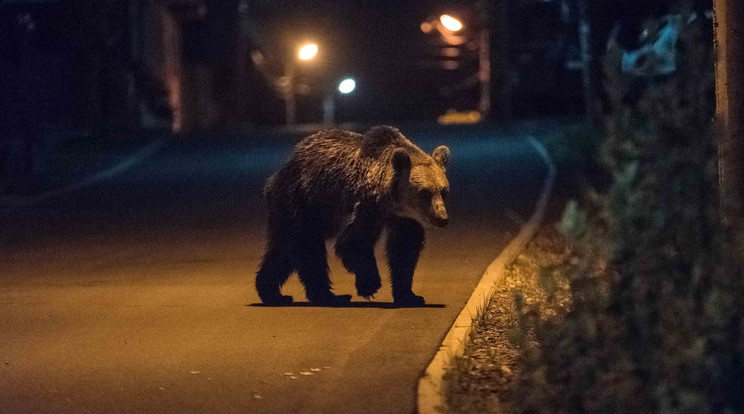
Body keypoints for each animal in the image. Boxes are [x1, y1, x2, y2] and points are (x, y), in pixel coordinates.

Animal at [258, 126, 448, 308]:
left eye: (444, 191)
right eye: (425, 192)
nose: (442, 218)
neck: (390, 201)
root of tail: (279, 173)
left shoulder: (403, 218)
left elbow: (404, 248)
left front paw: (410, 296)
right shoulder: (365, 205)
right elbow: (354, 241)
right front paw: (370, 285)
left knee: (284, 250)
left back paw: (274, 293)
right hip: (300, 201)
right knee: (306, 246)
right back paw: (326, 296)